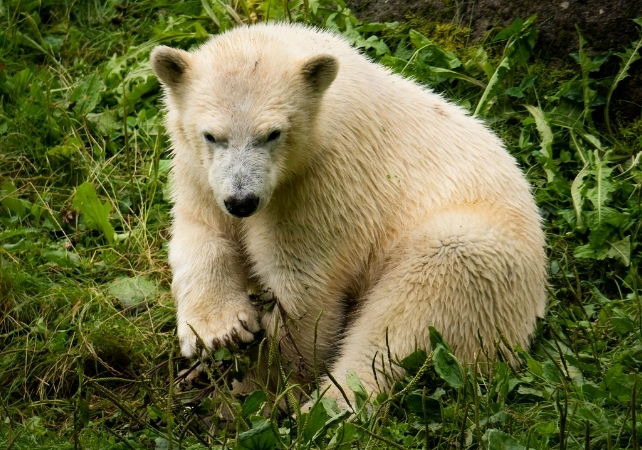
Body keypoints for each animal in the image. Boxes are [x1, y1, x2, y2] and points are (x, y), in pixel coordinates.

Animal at [150, 23, 547, 409]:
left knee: (402, 323)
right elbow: (201, 231)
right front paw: (219, 331)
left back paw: (331, 405)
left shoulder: (326, 179)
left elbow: (304, 284)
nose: (242, 201)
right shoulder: (199, 173)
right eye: (211, 135)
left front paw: (270, 387)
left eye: (273, 134)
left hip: (473, 256)